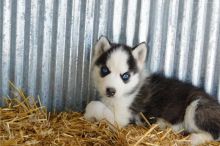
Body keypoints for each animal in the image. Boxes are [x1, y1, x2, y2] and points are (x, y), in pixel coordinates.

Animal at [84, 36, 220, 145]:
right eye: (105, 70)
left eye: (125, 76)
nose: (110, 91)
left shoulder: (121, 118)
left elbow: (94, 105)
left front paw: (86, 115)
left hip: (196, 106)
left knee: (214, 133)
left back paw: (192, 139)